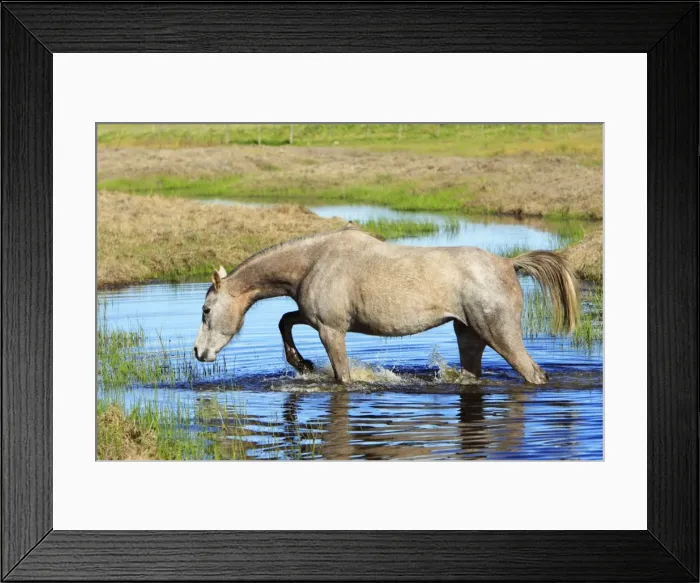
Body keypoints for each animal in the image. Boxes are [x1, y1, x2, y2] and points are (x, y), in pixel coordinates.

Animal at [193, 223, 579, 384]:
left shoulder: (331, 330)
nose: (198, 352)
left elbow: (343, 376)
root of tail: (508, 264)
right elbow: (285, 319)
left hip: (500, 333)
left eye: (206, 310)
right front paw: (301, 364)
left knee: (533, 373)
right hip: (469, 334)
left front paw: (306, 365)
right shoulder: (314, 317)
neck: (313, 261)